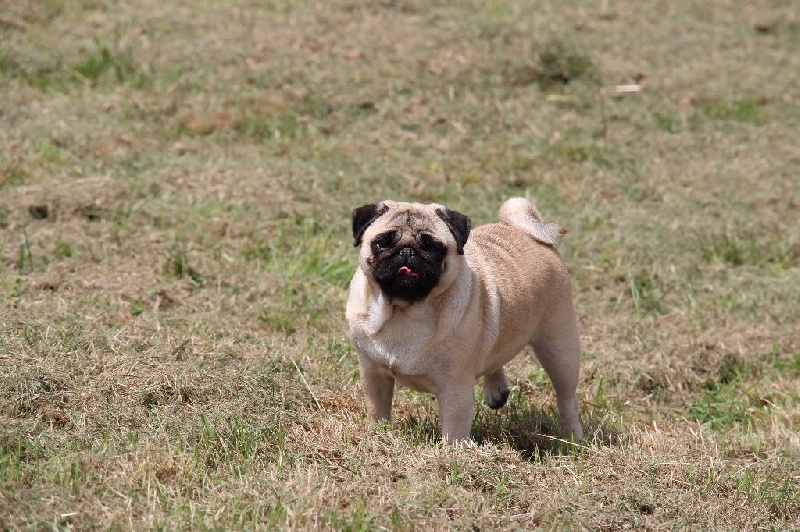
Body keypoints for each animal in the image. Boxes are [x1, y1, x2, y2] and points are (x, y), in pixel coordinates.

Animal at [344, 197, 580, 442]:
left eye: (433, 247)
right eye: (382, 243)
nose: (407, 251)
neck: (405, 310)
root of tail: (525, 231)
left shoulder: (455, 387)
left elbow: (455, 428)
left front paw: (454, 450)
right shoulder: (373, 374)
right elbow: (377, 409)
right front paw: (378, 434)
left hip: (560, 349)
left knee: (567, 398)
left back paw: (573, 436)